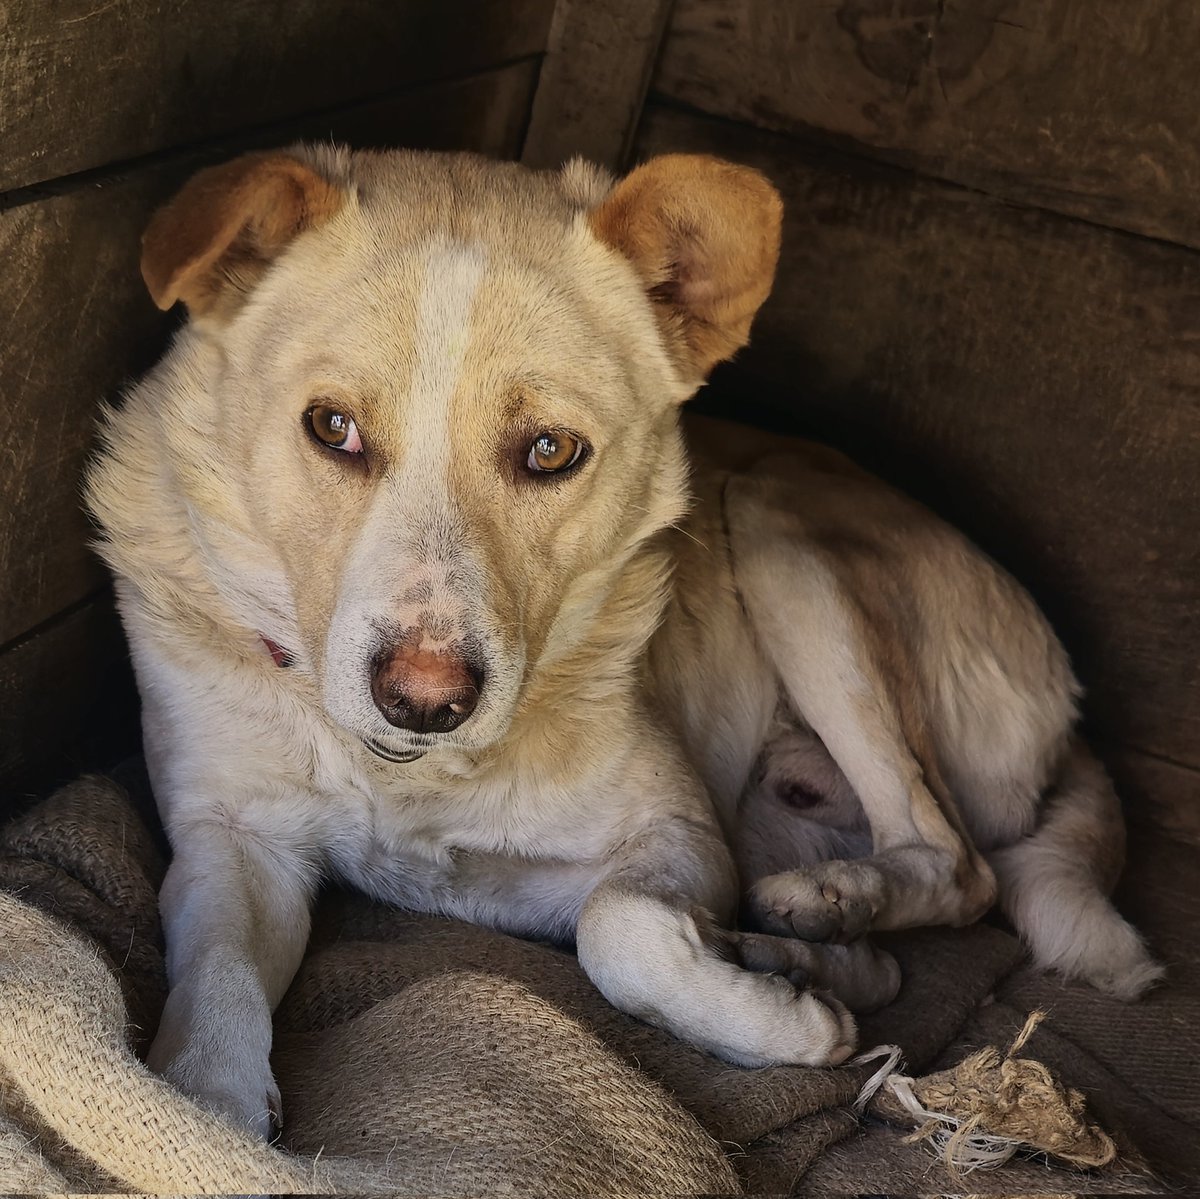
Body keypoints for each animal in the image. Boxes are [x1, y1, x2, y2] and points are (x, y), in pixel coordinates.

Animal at [87, 145, 1161, 1137]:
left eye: (551, 450)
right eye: (332, 427)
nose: (426, 700)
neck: (406, 778)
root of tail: (1076, 718)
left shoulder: (674, 836)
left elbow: (620, 931)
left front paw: (784, 1028)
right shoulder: (235, 839)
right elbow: (218, 970)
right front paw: (202, 1106)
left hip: (779, 528)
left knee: (958, 862)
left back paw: (830, 904)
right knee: (898, 945)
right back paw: (805, 949)